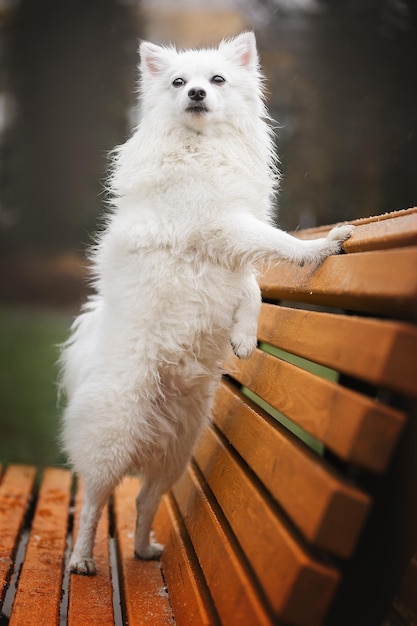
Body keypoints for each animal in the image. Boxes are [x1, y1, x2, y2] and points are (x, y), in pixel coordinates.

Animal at [59, 31, 352, 572]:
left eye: (216, 80)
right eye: (179, 83)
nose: (196, 93)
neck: (201, 147)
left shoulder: (229, 251)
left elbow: (253, 287)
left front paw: (243, 337)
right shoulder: (224, 225)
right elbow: (279, 244)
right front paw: (318, 249)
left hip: (176, 454)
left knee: (144, 500)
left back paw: (143, 549)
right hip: (113, 439)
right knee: (94, 500)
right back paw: (83, 559)